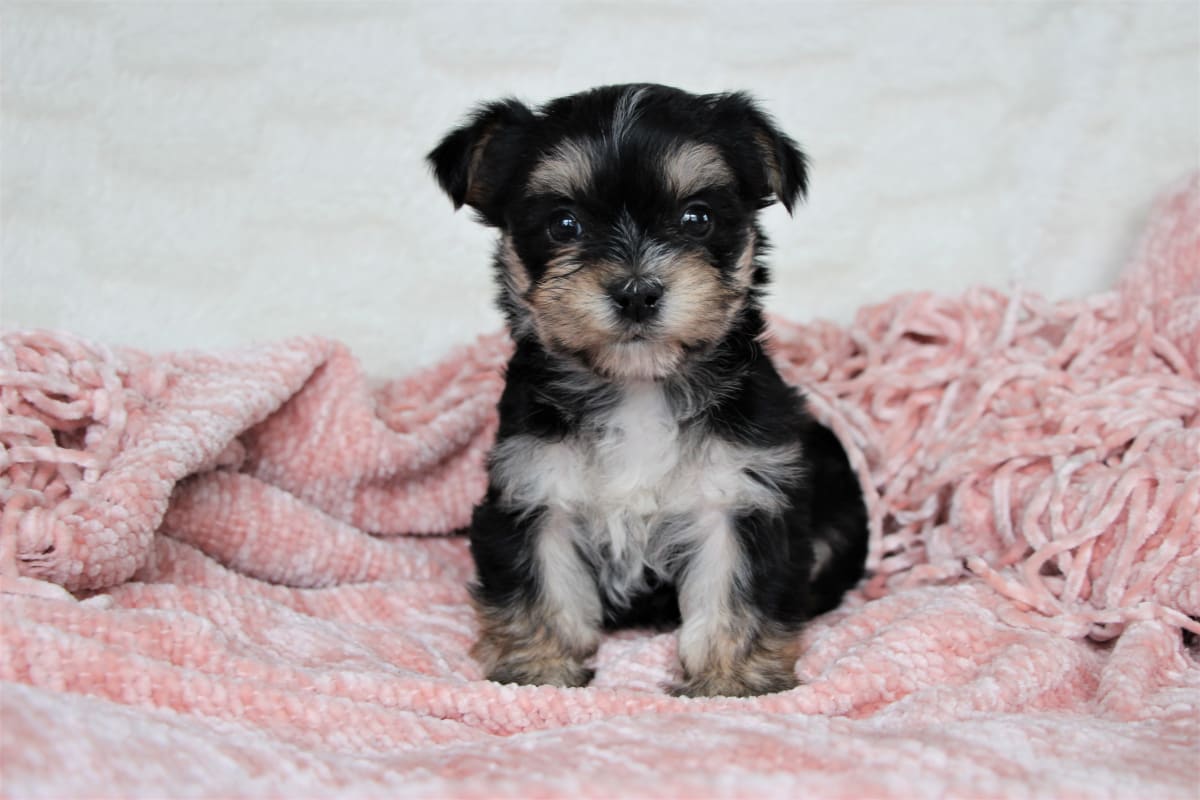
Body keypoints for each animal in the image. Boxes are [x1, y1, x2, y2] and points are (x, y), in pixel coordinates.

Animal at [427, 81, 868, 695]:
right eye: (564, 225)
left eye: (696, 218)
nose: (636, 292)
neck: (638, 386)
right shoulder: (532, 489)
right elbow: (541, 584)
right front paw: (538, 672)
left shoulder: (741, 494)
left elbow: (735, 591)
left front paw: (731, 680)